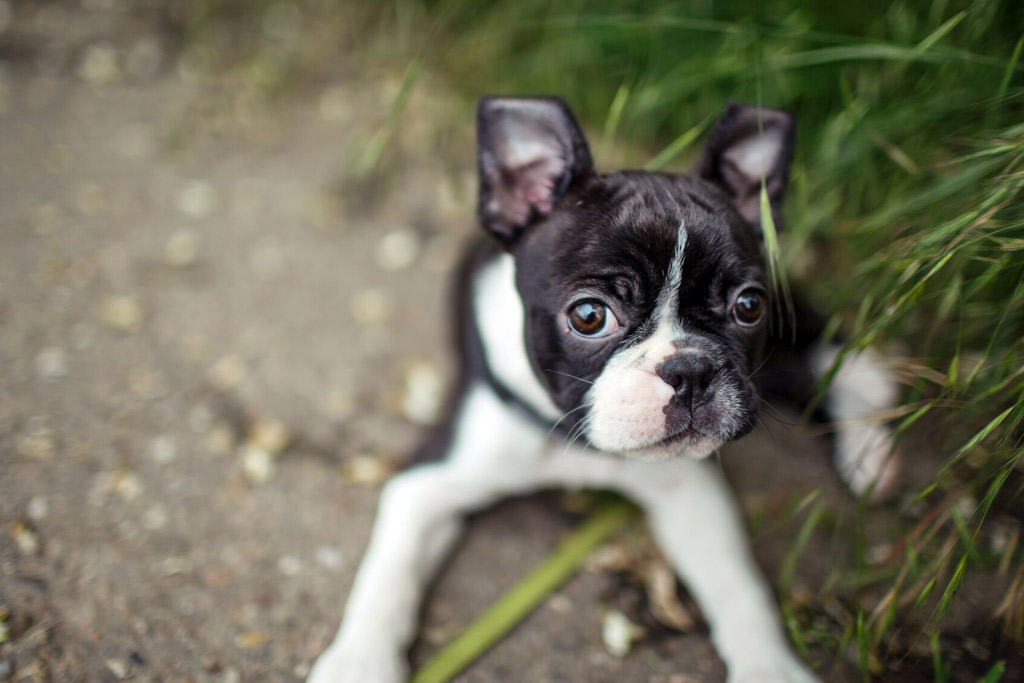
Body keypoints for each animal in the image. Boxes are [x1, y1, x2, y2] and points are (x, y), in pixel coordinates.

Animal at [307, 97, 901, 683]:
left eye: (749, 306)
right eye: (589, 316)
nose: (690, 369)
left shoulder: (690, 491)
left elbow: (737, 585)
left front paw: (770, 668)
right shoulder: (429, 481)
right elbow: (389, 572)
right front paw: (357, 663)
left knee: (837, 363)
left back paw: (869, 451)